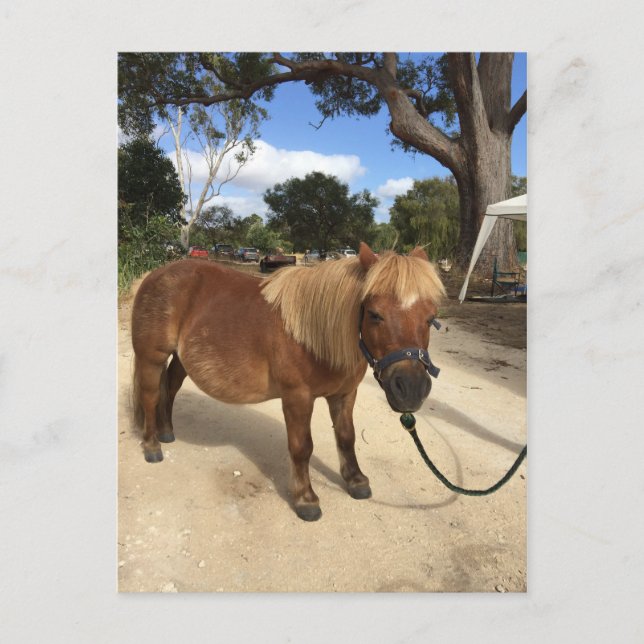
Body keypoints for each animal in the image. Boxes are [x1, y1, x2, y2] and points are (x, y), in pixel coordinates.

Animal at [130, 242, 445, 521]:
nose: (411, 389)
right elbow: (302, 447)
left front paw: (356, 481)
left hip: (180, 359)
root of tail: (156, 275)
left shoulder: (345, 395)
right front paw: (306, 499)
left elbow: (346, 437)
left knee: (170, 388)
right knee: (150, 396)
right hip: (151, 358)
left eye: (430, 318)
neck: (314, 334)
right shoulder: (298, 398)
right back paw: (152, 447)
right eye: (374, 314)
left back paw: (167, 432)